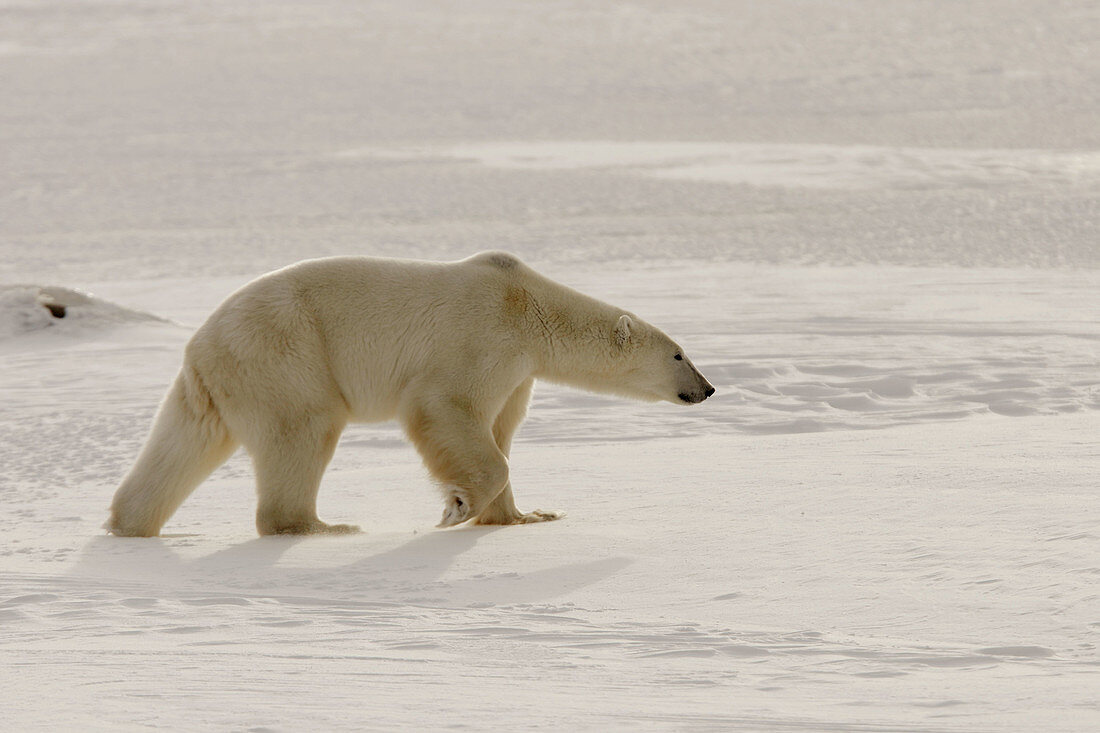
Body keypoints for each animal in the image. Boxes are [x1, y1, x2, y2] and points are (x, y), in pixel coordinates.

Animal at [107, 253, 717, 537]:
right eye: (679, 354)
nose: (708, 388)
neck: (525, 303)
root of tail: (200, 345)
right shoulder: (480, 336)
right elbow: (447, 411)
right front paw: (456, 508)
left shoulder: (517, 371)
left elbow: (500, 429)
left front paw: (527, 516)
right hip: (287, 354)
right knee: (304, 429)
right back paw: (325, 526)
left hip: (220, 381)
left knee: (181, 443)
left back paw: (129, 523)